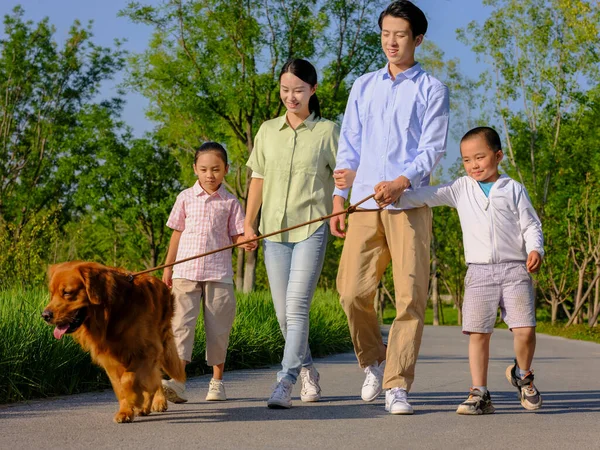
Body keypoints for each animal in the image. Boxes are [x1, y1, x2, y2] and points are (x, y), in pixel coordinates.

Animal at [42, 260, 185, 422]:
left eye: (67, 292)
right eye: (52, 294)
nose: (45, 315)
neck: (111, 314)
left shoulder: (147, 351)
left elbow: (128, 379)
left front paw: (135, 399)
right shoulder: (109, 359)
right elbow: (120, 386)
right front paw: (125, 411)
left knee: (154, 377)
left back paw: (157, 401)